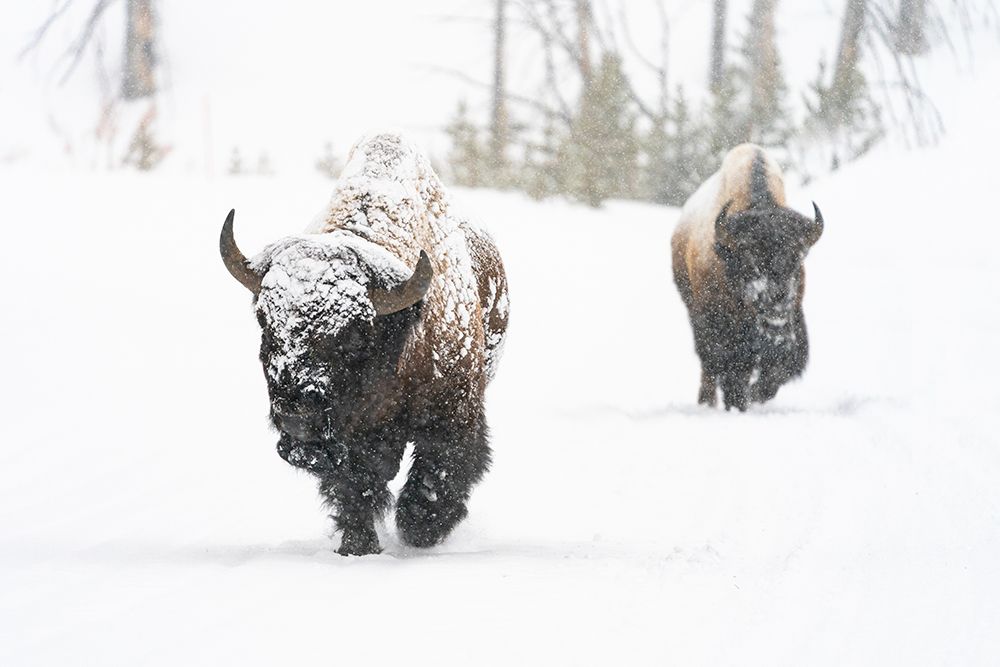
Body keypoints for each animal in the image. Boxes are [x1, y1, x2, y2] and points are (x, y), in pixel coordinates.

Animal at [219, 133, 509, 555]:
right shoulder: (350, 440)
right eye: (265, 321)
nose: (297, 419)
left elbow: (438, 473)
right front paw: (358, 545)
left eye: (355, 334)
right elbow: (355, 486)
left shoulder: (453, 415)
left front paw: (418, 529)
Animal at [671, 144, 823, 411]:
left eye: (797, 258)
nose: (776, 304)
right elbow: (730, 371)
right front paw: (739, 402)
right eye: (749, 258)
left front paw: (754, 396)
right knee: (708, 366)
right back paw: (707, 402)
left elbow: (775, 373)